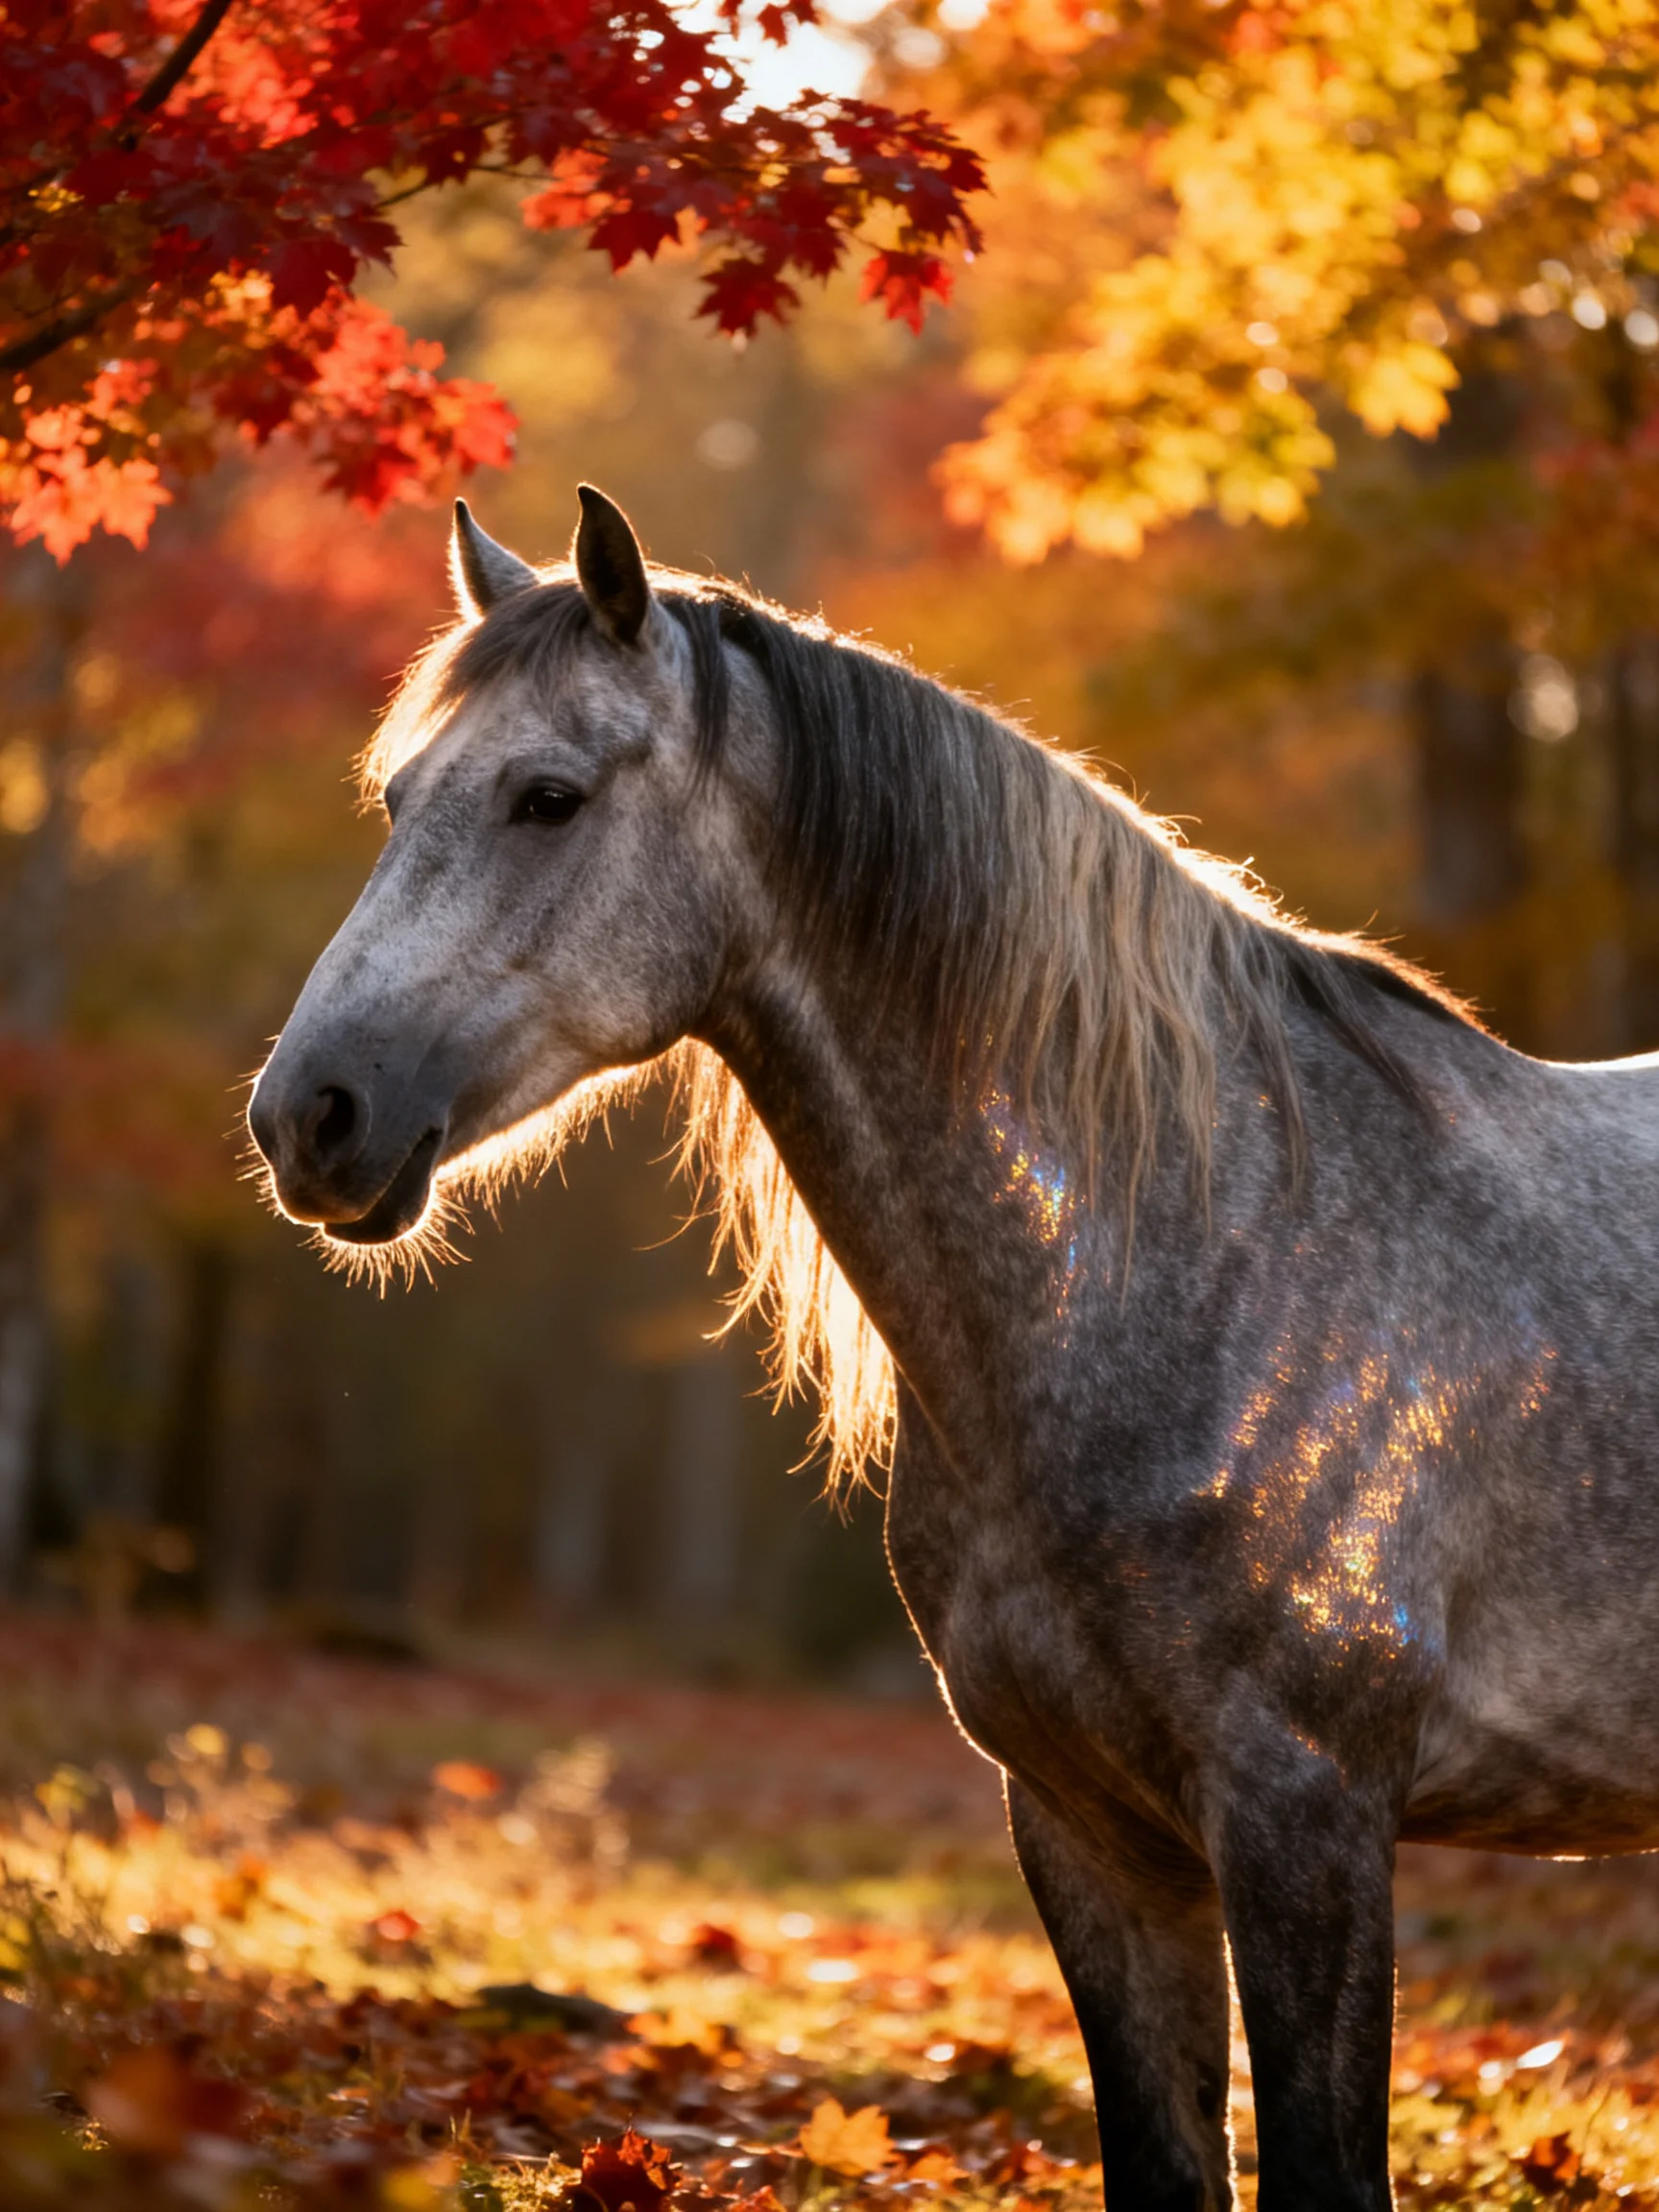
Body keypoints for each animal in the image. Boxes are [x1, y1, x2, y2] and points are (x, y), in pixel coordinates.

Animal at [249, 485, 1659, 2212]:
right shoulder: (1085, 1825)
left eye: (548, 796)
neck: (1209, 1251)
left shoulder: (1308, 1820)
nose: (309, 1116)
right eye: (397, 796)